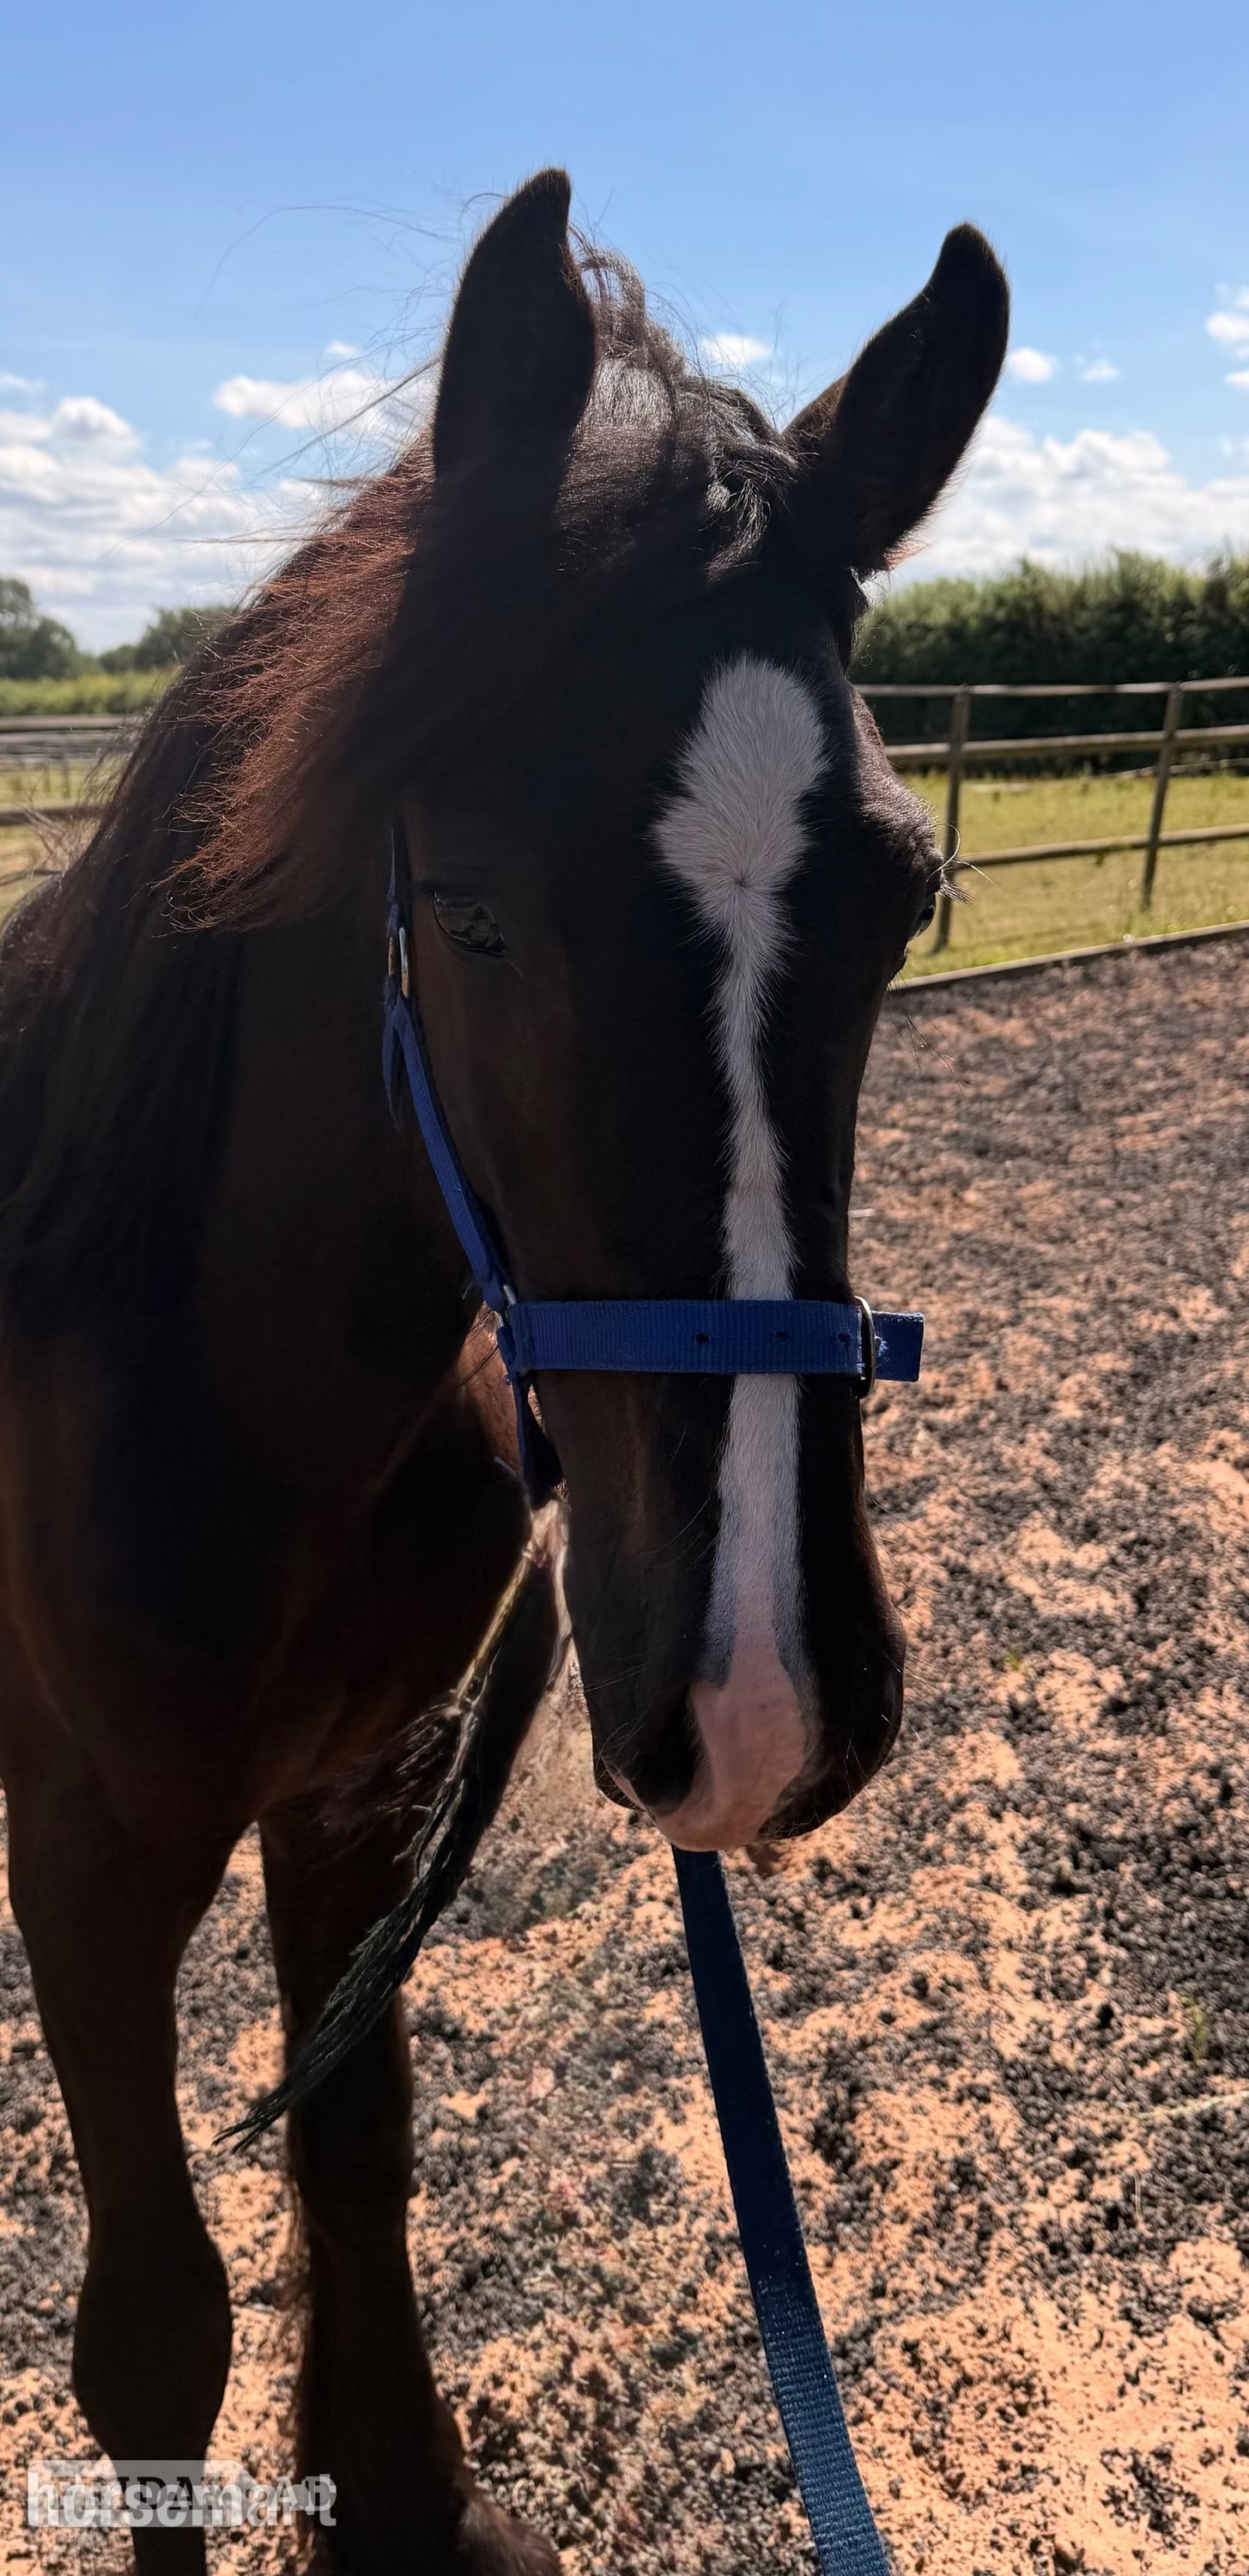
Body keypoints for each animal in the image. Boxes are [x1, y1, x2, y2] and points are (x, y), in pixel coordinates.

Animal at [0, 169, 1007, 2573]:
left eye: (905, 896)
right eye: (462, 910)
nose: (763, 1696)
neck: (230, 1400)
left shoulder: (361, 1793)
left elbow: (354, 2177)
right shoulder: (83, 1845)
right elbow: (151, 2332)